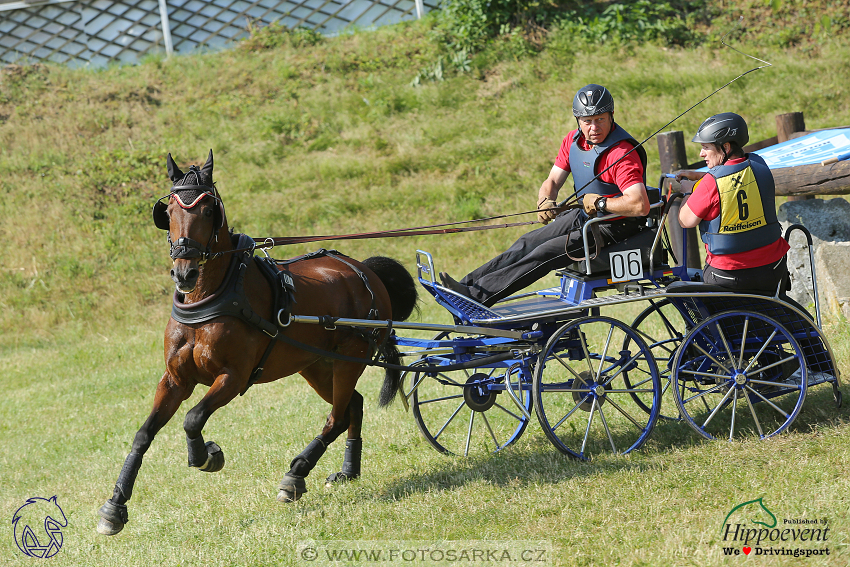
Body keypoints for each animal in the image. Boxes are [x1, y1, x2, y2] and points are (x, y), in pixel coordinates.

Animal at [97, 151, 416, 536]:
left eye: (208, 210)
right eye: (169, 211)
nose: (185, 273)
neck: (214, 296)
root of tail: (365, 272)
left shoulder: (233, 377)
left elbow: (192, 418)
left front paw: (206, 456)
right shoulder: (175, 379)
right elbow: (143, 434)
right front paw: (115, 506)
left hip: (348, 360)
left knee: (338, 417)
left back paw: (295, 476)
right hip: (316, 366)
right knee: (353, 404)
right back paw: (347, 471)